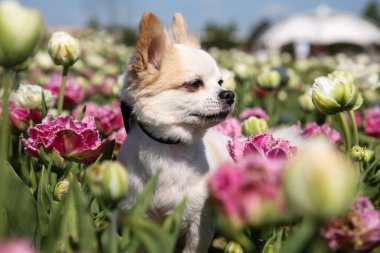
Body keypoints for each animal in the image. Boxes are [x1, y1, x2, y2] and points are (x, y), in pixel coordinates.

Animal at [118, 12, 235, 253]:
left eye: (220, 82)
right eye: (194, 84)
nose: (230, 94)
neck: (169, 149)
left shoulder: (200, 222)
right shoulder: (138, 217)